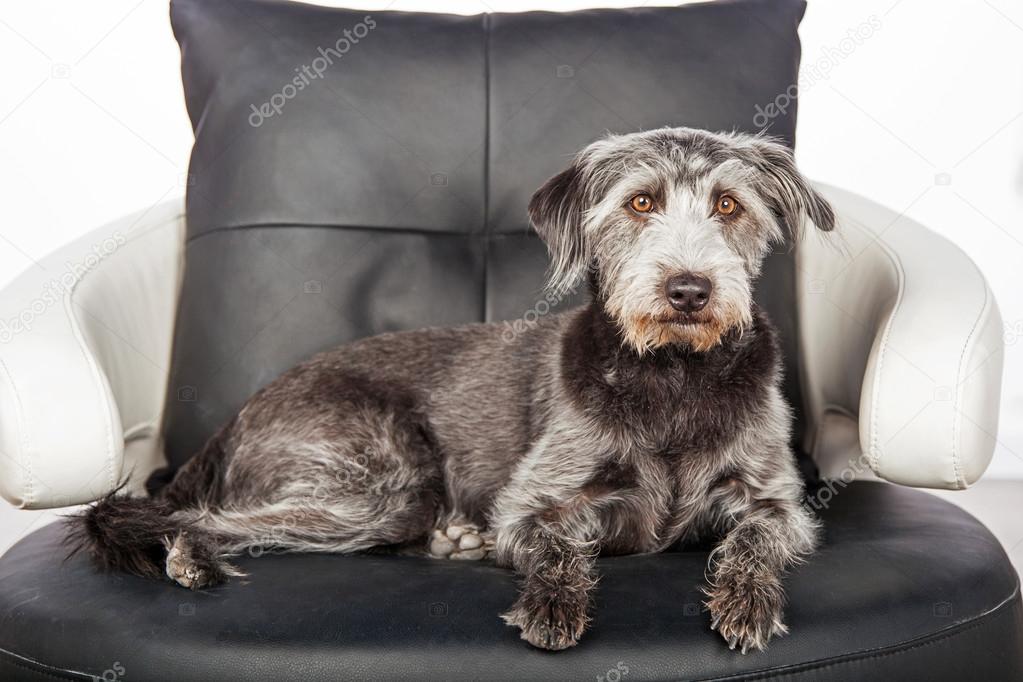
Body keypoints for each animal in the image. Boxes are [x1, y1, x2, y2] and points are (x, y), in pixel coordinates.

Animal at [75, 125, 834, 654]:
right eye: (640, 202)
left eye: (728, 205)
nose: (689, 289)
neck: (673, 375)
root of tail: (233, 421)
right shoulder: (531, 504)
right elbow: (555, 546)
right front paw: (551, 605)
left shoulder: (778, 502)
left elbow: (756, 538)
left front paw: (748, 602)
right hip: (378, 488)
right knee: (211, 517)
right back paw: (190, 554)